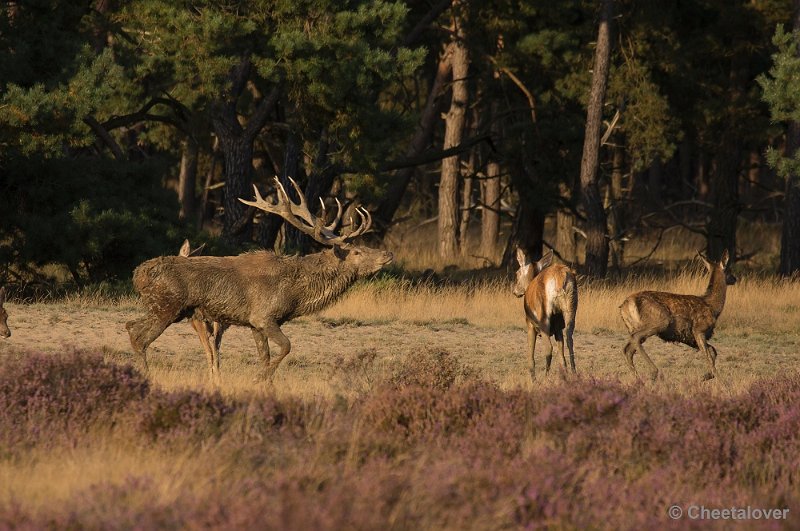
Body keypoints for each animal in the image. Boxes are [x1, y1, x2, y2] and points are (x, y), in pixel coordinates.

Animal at [126, 180, 396, 382]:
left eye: (364, 246)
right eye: (357, 252)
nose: (388, 254)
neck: (296, 295)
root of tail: (137, 274)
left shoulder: (254, 324)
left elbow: (264, 356)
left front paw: (265, 384)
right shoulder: (263, 316)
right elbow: (287, 347)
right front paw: (259, 378)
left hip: (165, 308)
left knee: (130, 325)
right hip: (168, 306)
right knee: (139, 336)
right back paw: (146, 377)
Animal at [516, 249, 580, 382]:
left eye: (517, 273)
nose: (515, 291)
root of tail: (561, 276)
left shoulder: (529, 323)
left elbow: (531, 353)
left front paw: (532, 378)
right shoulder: (558, 327)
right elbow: (561, 353)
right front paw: (564, 374)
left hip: (543, 316)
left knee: (548, 348)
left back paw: (546, 377)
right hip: (571, 306)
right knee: (570, 339)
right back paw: (573, 373)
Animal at [620, 249, 736, 382]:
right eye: (728, 269)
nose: (735, 278)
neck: (713, 307)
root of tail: (626, 304)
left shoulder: (689, 337)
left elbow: (713, 351)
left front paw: (706, 375)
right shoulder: (699, 329)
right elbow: (708, 354)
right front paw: (718, 379)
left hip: (634, 326)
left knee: (628, 349)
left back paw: (638, 378)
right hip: (661, 321)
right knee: (635, 338)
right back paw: (653, 372)